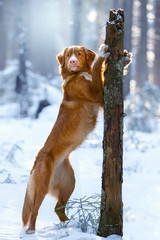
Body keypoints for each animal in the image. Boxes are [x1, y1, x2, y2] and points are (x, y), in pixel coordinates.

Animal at [21, 44, 131, 233]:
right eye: (68, 55)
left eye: (78, 54)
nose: (72, 61)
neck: (77, 75)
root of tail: (36, 160)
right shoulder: (97, 94)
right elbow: (98, 69)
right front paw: (101, 54)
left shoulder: (100, 95)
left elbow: (101, 72)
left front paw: (124, 59)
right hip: (42, 186)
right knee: (35, 209)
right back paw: (31, 230)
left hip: (69, 183)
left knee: (58, 207)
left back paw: (70, 225)